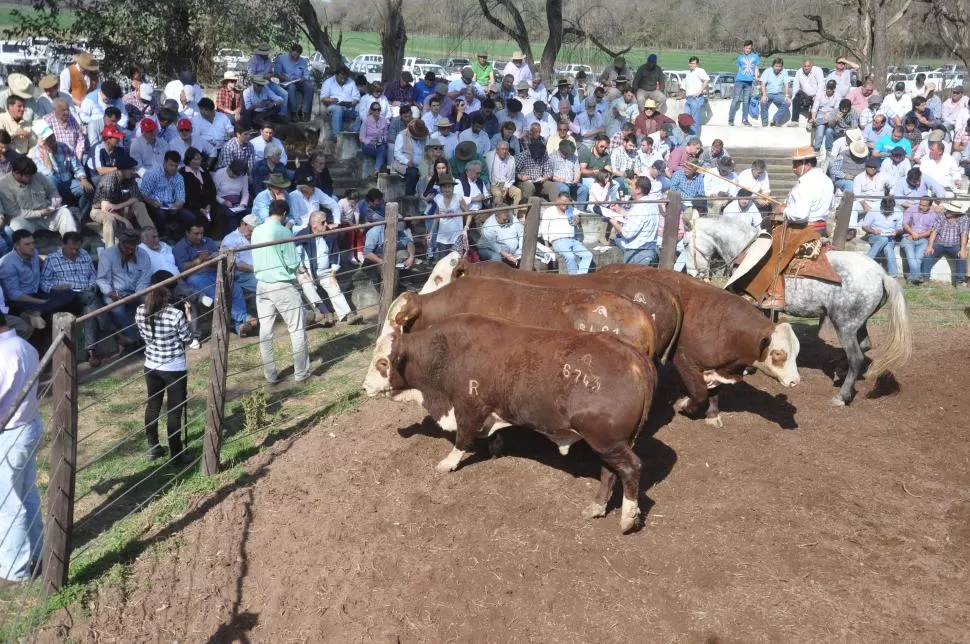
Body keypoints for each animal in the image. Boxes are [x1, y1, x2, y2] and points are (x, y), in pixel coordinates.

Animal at [364, 316, 656, 532]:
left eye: (383, 362)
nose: (365, 387)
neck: (447, 352)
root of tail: (632, 356)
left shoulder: (469, 406)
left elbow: (463, 438)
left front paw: (448, 462)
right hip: (611, 443)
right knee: (610, 472)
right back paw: (596, 507)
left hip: (608, 442)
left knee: (632, 469)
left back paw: (628, 518)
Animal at [688, 219, 908, 406]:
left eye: (685, 244)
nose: (690, 274)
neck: (747, 250)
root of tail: (881, 274)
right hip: (858, 322)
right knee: (865, 345)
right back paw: (839, 370)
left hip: (844, 324)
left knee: (856, 357)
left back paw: (842, 395)